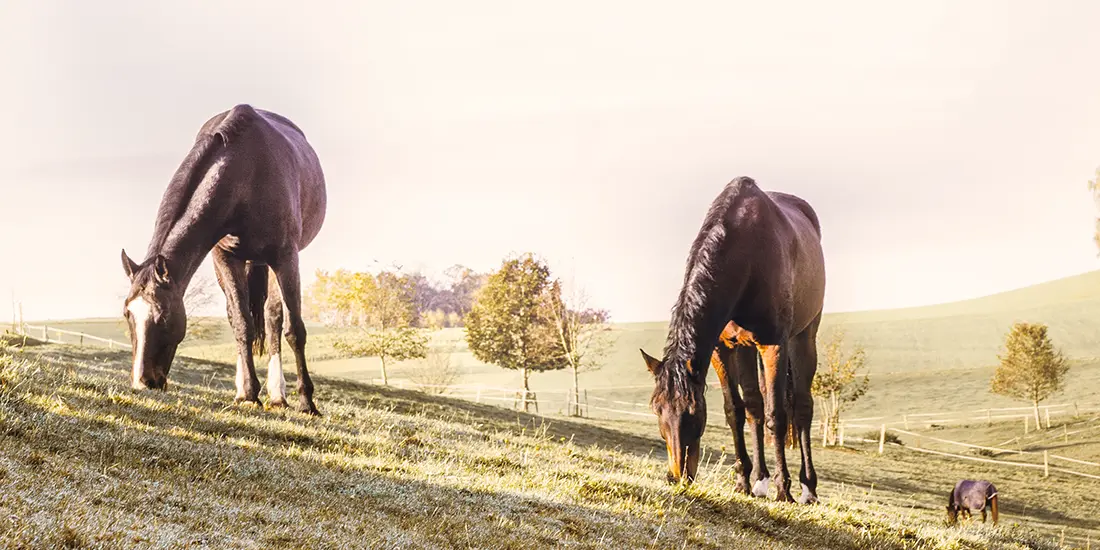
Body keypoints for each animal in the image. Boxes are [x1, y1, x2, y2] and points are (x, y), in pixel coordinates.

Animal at [120, 104, 327, 415]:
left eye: (164, 314)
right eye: (127, 314)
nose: (143, 382)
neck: (247, 173)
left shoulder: (286, 257)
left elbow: (294, 329)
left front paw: (307, 402)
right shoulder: (224, 257)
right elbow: (241, 323)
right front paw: (250, 394)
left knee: (273, 318)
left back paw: (279, 395)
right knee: (239, 316)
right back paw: (245, 390)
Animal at [640, 176, 825, 504]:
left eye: (692, 413)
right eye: (657, 410)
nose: (677, 476)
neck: (747, 258)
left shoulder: (774, 345)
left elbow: (777, 415)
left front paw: (784, 490)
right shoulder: (722, 348)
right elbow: (735, 410)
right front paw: (743, 482)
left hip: (804, 336)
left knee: (802, 408)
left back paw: (808, 489)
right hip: (745, 349)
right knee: (753, 406)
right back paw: (760, 480)